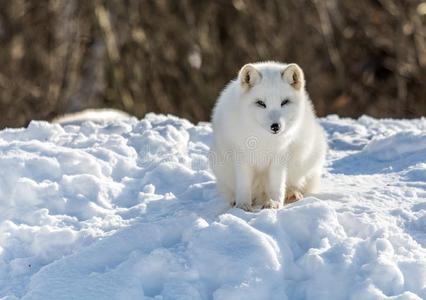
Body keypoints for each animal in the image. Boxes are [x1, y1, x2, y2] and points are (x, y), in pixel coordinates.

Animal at [210, 61, 326, 211]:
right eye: (260, 103)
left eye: (284, 102)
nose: (275, 126)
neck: (262, 139)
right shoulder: (241, 156)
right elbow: (243, 184)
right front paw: (243, 205)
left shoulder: (280, 156)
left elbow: (277, 184)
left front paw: (275, 203)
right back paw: (234, 200)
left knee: (295, 184)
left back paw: (291, 194)